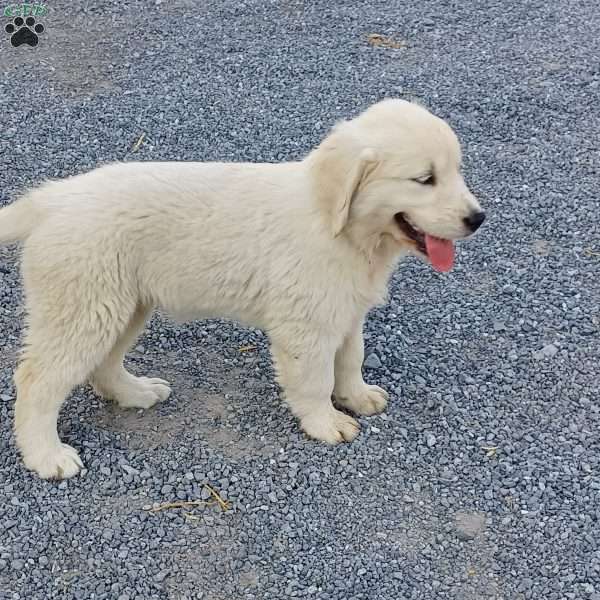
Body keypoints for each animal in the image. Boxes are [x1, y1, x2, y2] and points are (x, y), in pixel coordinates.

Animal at [0, 101, 482, 480]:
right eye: (425, 179)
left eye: (456, 171)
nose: (478, 219)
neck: (336, 221)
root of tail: (51, 199)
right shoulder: (306, 323)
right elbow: (315, 378)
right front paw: (325, 422)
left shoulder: (345, 309)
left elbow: (350, 358)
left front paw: (357, 397)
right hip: (85, 305)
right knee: (37, 379)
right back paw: (46, 456)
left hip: (123, 303)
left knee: (102, 366)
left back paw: (136, 393)